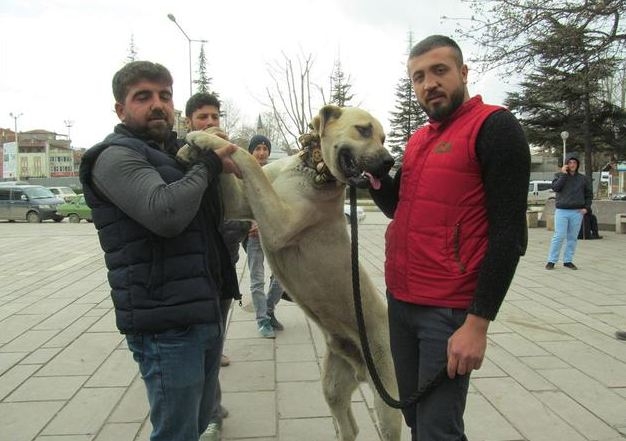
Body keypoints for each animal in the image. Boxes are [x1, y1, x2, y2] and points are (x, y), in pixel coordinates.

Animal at [179, 105, 400, 440]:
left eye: (385, 138)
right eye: (364, 130)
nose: (389, 162)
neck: (312, 168)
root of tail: (360, 366)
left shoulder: (278, 221)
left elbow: (247, 161)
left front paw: (202, 138)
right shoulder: (240, 203)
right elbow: (236, 171)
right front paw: (196, 145)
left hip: (387, 398)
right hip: (333, 383)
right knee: (349, 425)